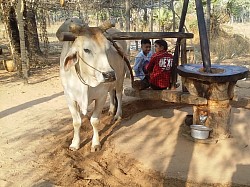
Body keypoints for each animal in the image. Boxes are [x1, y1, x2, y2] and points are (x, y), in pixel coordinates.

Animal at [58, 18, 127, 151]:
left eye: (107, 49)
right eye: (86, 49)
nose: (109, 74)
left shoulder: (100, 96)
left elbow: (94, 121)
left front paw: (95, 143)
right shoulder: (69, 97)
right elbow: (76, 122)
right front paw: (75, 144)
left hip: (120, 77)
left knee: (119, 94)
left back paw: (117, 114)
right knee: (112, 93)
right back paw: (111, 110)